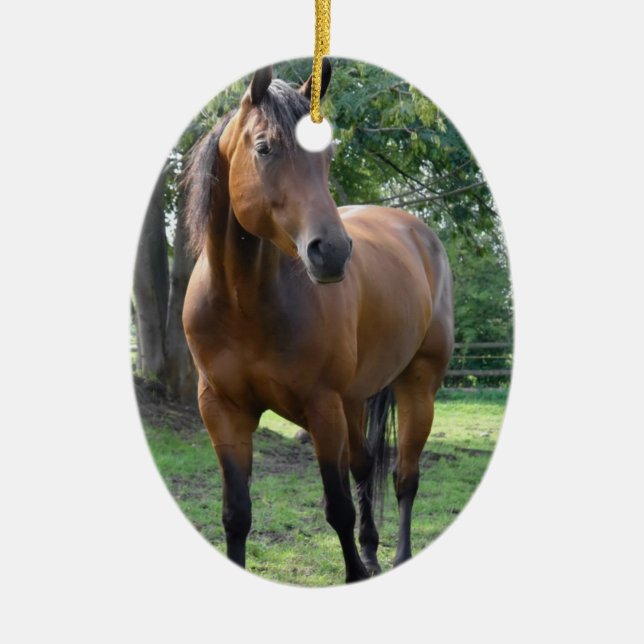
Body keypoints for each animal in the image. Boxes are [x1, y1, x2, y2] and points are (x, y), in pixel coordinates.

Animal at [181, 61, 454, 583]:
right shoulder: (221, 410)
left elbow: (338, 508)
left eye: (327, 154)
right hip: (356, 399)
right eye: (264, 147)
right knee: (366, 467)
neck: (245, 303)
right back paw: (372, 551)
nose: (332, 252)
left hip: (418, 384)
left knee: (404, 477)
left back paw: (397, 556)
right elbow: (236, 514)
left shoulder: (322, 407)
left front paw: (355, 573)